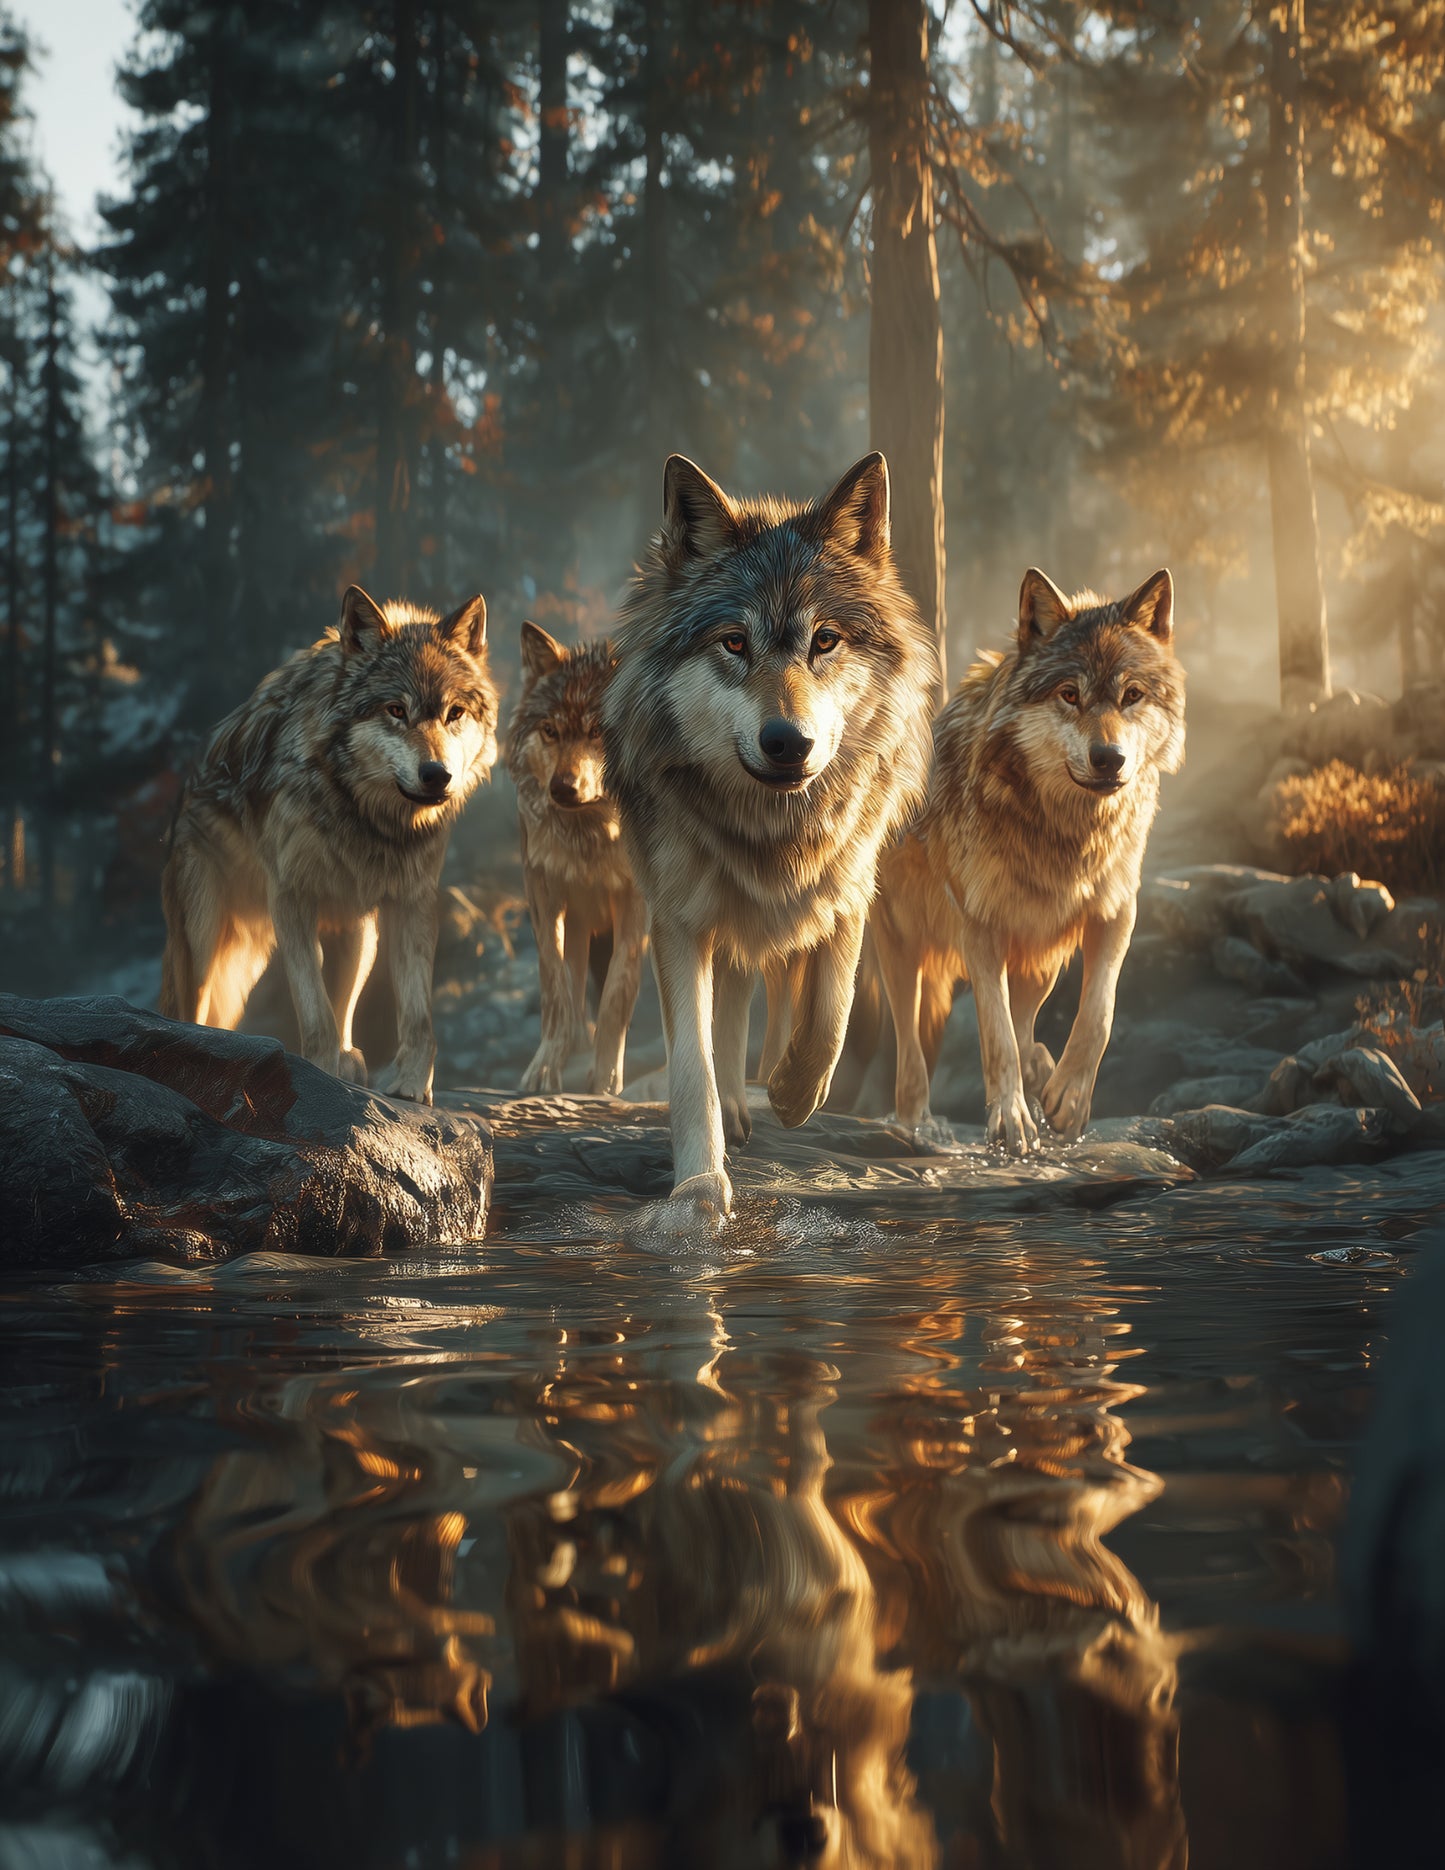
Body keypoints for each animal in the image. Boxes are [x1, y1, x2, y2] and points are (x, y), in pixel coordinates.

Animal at [160, 585, 499, 1103]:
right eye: (395, 710)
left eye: (454, 713)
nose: (437, 775)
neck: (363, 814)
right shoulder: (291, 898)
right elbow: (314, 1007)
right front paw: (318, 1073)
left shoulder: (412, 900)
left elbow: (417, 1015)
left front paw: (410, 1086)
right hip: (204, 936)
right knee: (191, 1012)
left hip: (357, 933)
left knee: (345, 1004)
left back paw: (349, 1061)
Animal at [506, 620, 647, 1095]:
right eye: (550, 731)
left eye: (598, 731)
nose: (562, 788)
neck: (591, 834)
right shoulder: (544, 893)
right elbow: (556, 985)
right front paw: (545, 1066)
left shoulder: (636, 901)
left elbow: (619, 989)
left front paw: (605, 1076)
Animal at [602, 452, 938, 1219]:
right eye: (734, 642)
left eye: (824, 640)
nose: (788, 742)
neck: (771, 828)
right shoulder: (677, 915)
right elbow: (691, 1065)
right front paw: (699, 1188)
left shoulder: (851, 880)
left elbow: (831, 1013)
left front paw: (790, 1091)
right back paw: (732, 1110)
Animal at [870, 566, 1185, 1153]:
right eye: (1069, 694)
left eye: (1131, 695)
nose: (1109, 759)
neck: (1065, 833)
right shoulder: (980, 925)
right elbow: (995, 1035)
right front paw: (1011, 1120)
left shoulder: (1116, 913)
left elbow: (1098, 1016)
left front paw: (1068, 1100)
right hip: (903, 948)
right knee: (911, 1047)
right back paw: (919, 1121)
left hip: (1039, 953)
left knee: (1026, 1022)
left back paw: (1041, 1071)